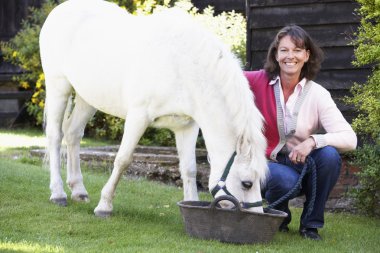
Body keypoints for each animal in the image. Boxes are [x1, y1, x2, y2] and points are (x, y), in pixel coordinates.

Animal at [39, 0, 268, 217]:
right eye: (247, 183)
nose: (257, 215)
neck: (181, 65)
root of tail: (60, 10)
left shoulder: (187, 126)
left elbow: (189, 169)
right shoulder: (138, 117)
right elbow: (123, 160)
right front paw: (104, 206)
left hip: (89, 98)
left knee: (73, 133)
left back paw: (78, 190)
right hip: (58, 86)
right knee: (55, 136)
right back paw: (58, 193)